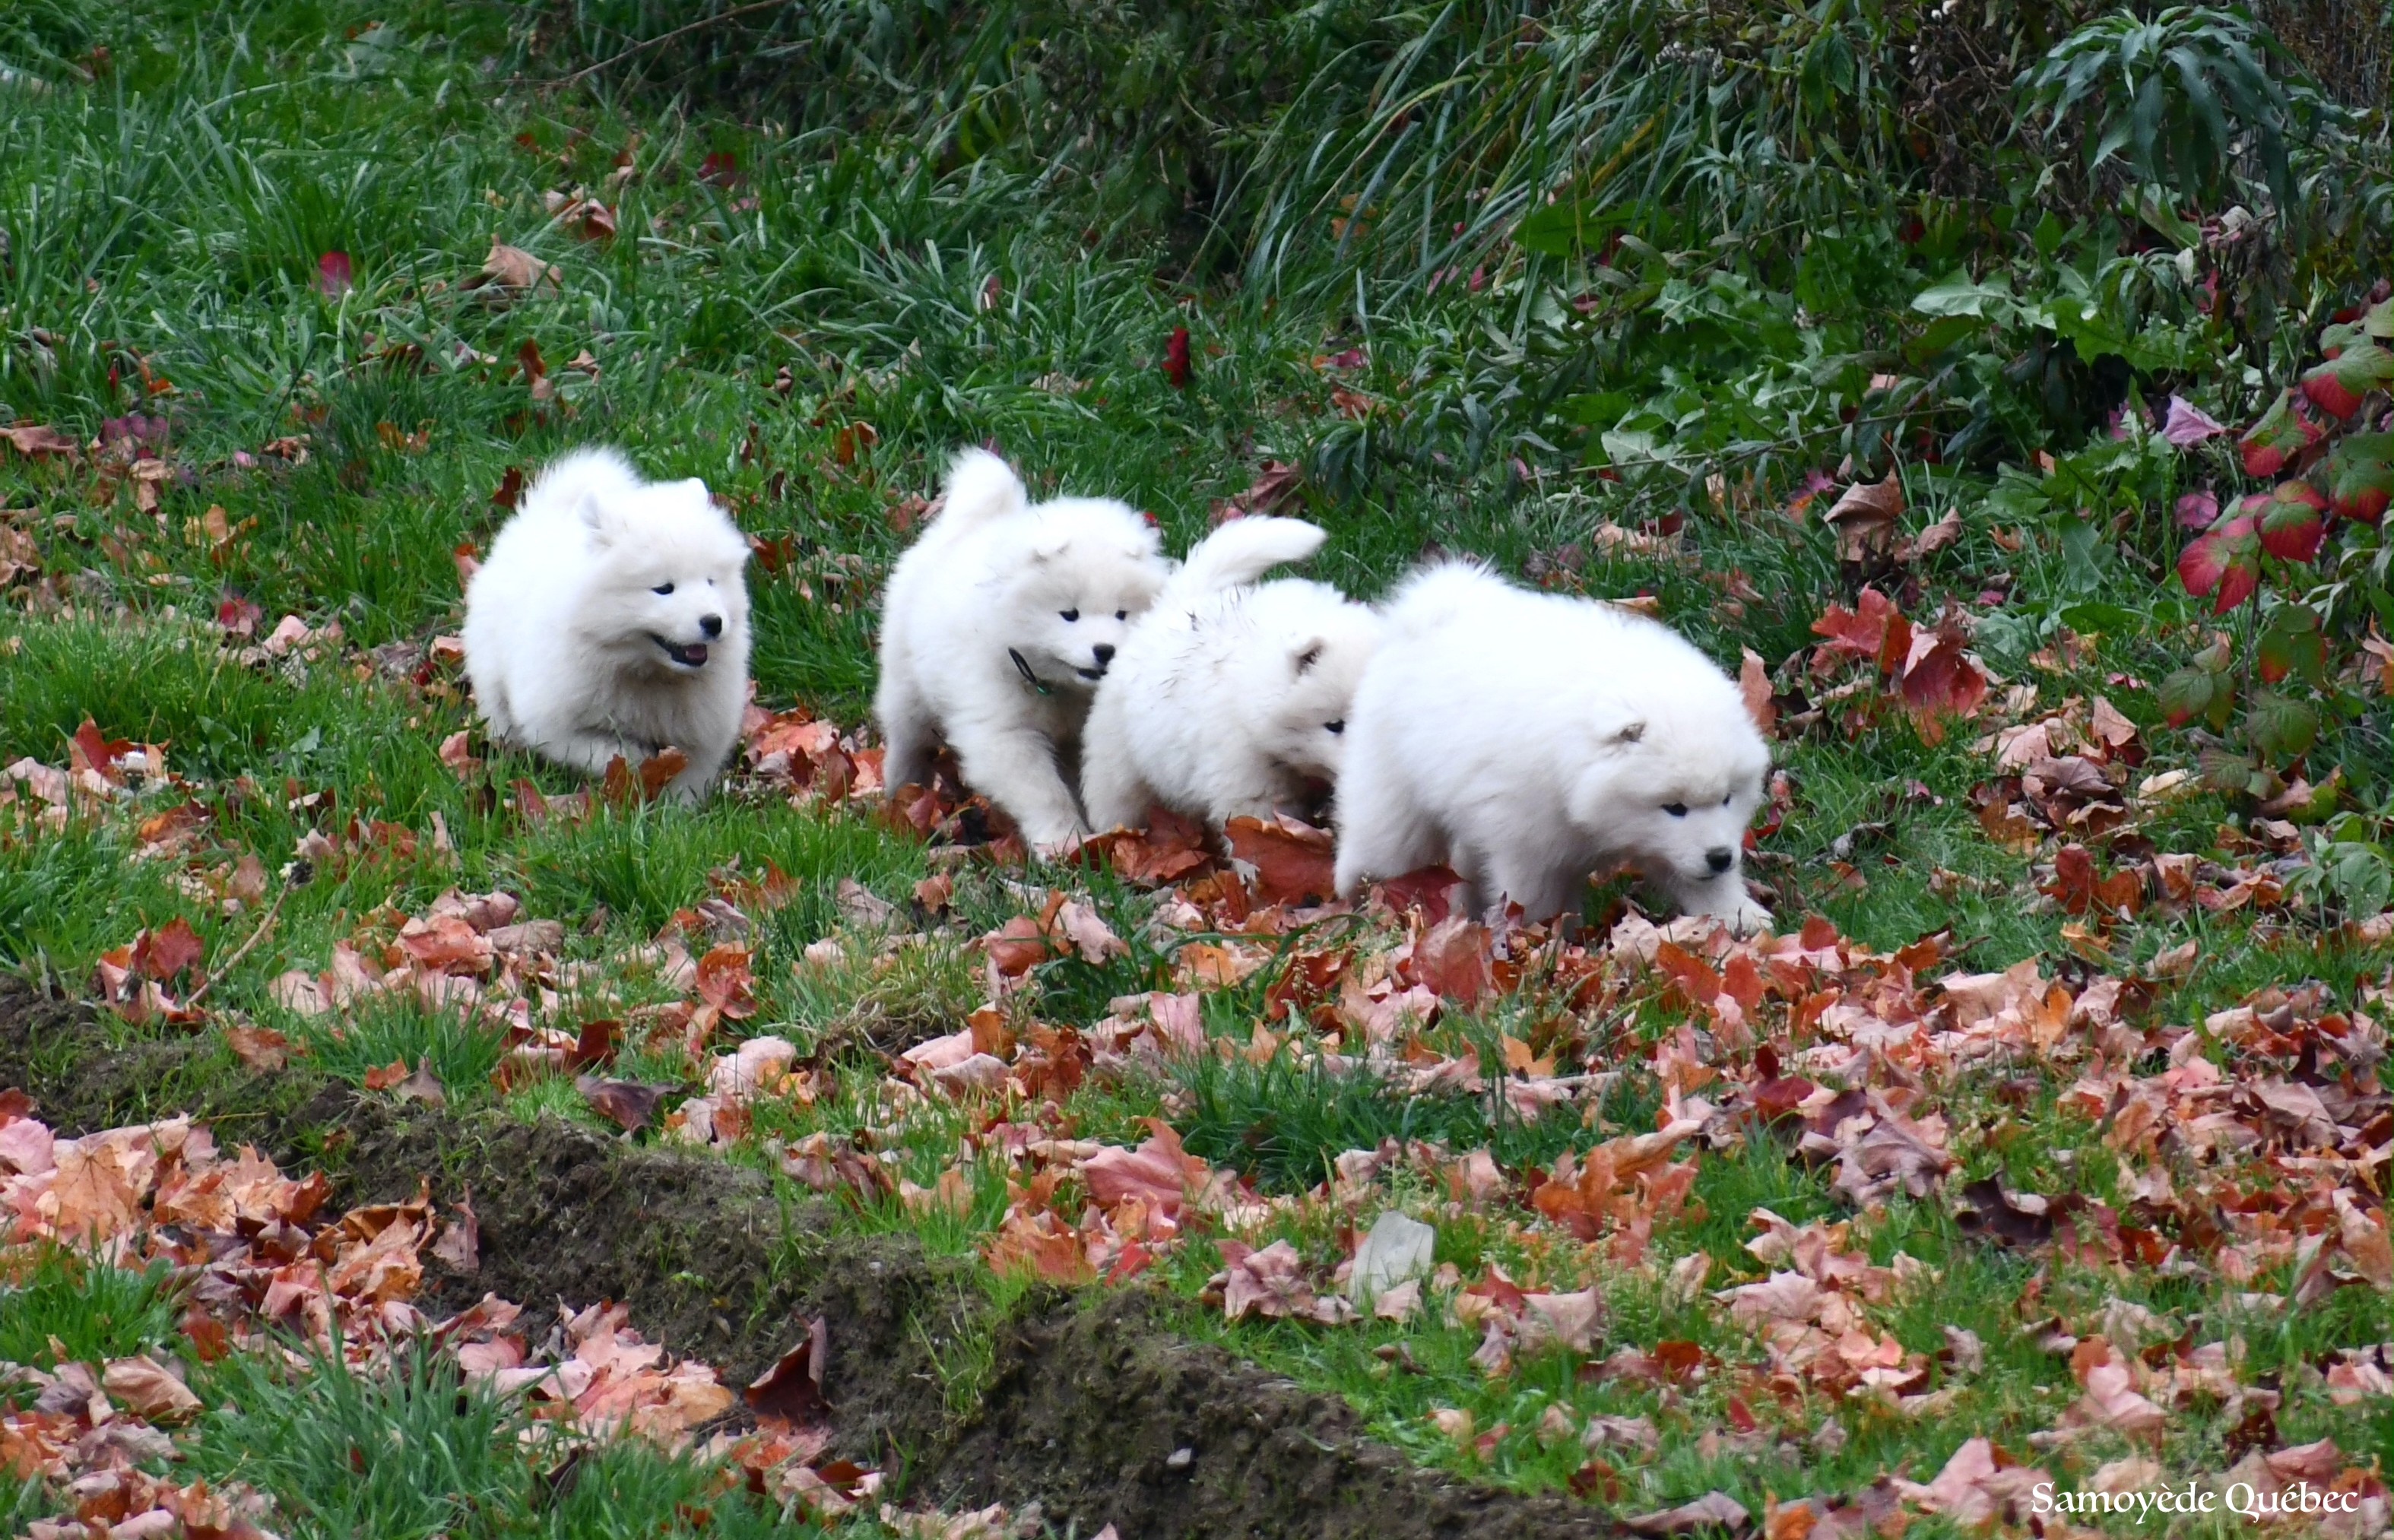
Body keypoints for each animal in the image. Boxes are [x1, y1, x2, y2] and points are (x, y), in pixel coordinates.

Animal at [461, 445, 751, 800]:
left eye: (711, 581)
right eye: (664, 588)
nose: (713, 622)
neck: (645, 674)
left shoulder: (703, 732)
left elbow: (689, 776)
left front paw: (676, 808)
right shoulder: (553, 720)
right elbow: (605, 750)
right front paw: (636, 766)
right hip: (490, 665)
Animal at [886, 452, 1173, 848]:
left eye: (1121, 614)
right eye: (1069, 614)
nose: (1105, 650)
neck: (1059, 688)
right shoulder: (1004, 731)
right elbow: (1043, 791)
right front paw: (1063, 840)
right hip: (907, 684)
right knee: (905, 737)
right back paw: (898, 790)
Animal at [1330, 562, 1780, 933]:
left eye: (1727, 798)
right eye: (1675, 807)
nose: (1720, 857)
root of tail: (1429, 616)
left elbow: (1701, 883)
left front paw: (1743, 918)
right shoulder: (1527, 839)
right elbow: (1534, 899)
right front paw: (1541, 942)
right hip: (1394, 796)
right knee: (1377, 849)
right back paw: (1353, 905)